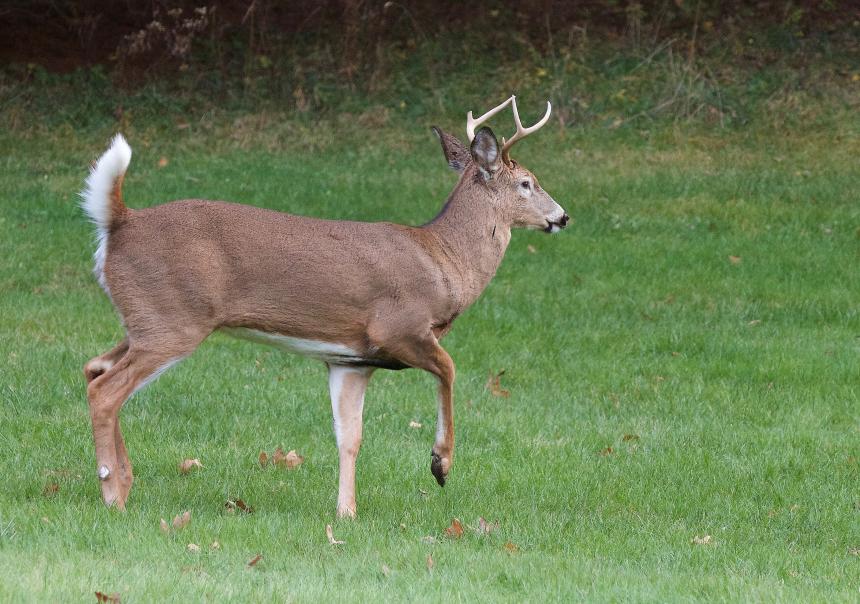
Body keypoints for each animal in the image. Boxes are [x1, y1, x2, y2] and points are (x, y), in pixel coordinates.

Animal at [79, 95, 564, 520]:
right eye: (527, 183)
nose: (561, 216)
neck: (445, 263)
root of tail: (119, 222)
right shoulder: (398, 327)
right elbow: (449, 369)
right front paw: (440, 464)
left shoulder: (350, 360)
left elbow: (350, 437)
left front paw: (346, 513)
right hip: (174, 320)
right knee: (106, 391)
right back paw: (112, 496)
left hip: (145, 318)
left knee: (94, 367)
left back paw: (125, 482)